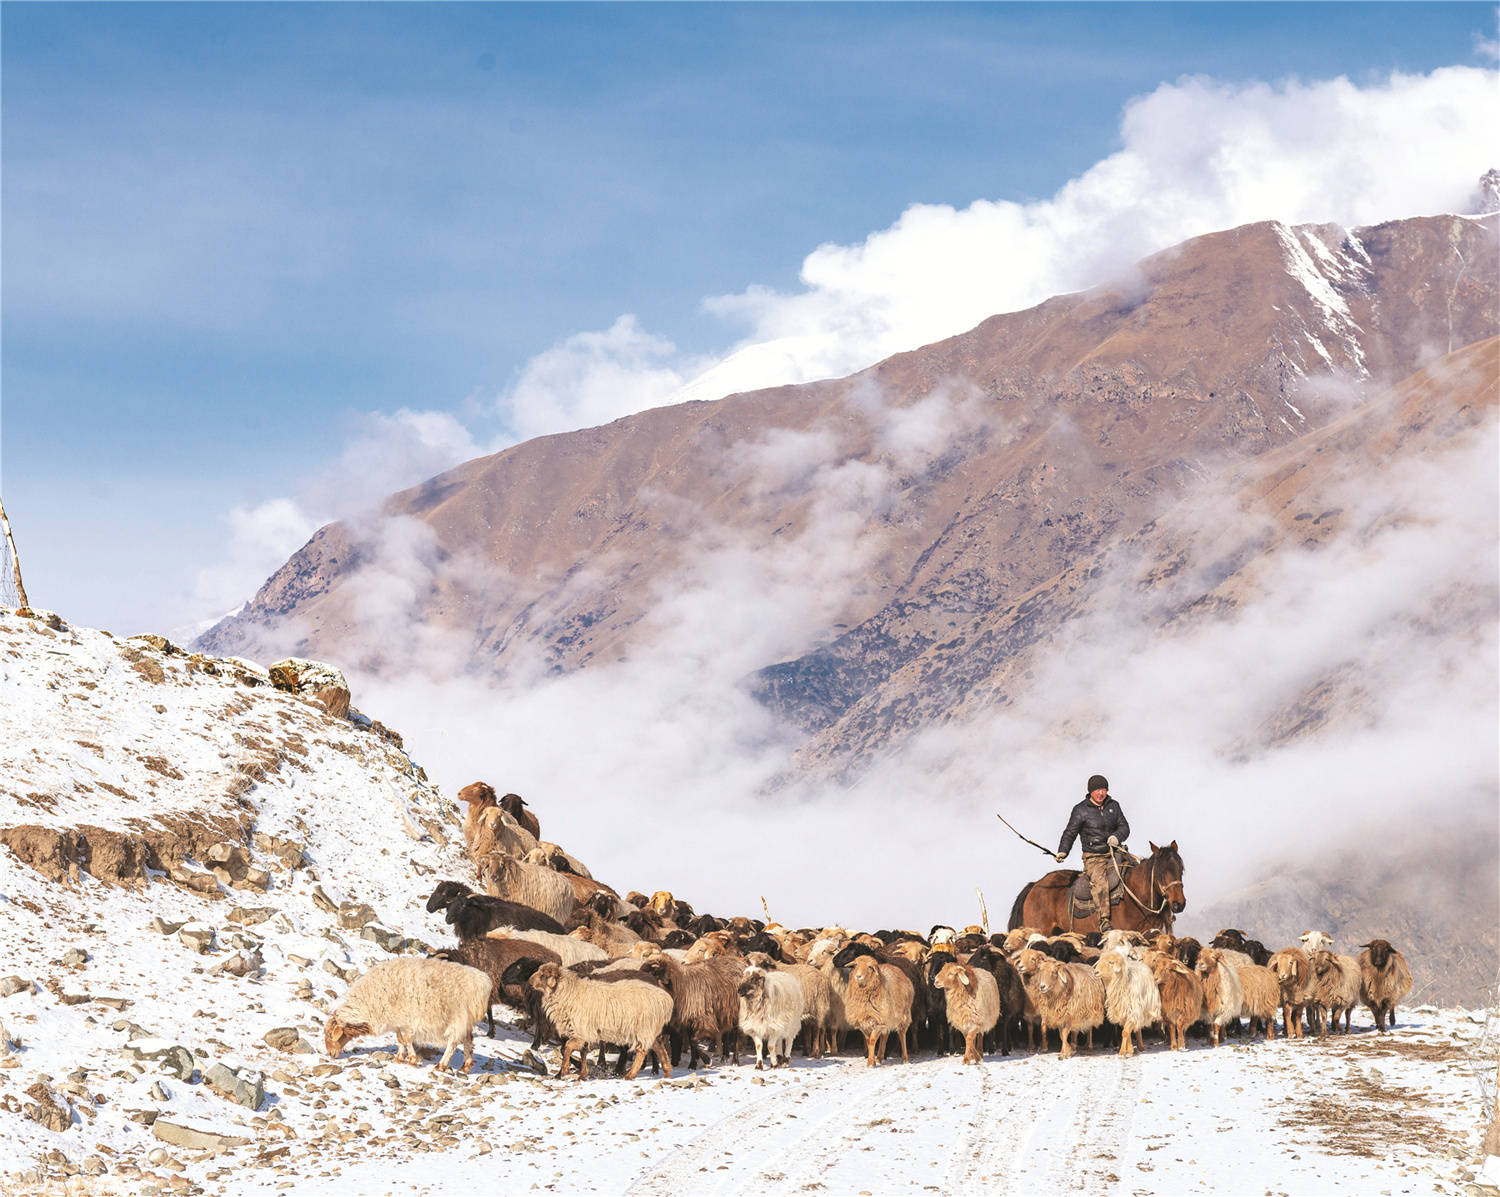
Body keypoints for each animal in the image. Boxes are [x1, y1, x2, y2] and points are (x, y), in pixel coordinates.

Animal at [325, 954, 489, 1080]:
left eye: (331, 1035)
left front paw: (412, 1059)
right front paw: (400, 1057)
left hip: (457, 1018)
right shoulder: (398, 1022)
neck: (369, 1004)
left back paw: (441, 1066)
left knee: (453, 1042)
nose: (331, 1054)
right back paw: (466, 1066)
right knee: (468, 1040)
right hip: (465, 1020)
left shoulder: (408, 1021)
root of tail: (483, 981)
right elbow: (399, 1039)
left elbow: (407, 1039)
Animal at [525, 960, 672, 1080]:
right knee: (659, 1046)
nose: (529, 982)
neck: (568, 993)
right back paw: (666, 1072)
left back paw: (631, 1075)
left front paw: (565, 1071)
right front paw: (582, 1074)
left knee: (642, 1051)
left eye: (543, 975)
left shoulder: (582, 1030)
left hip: (643, 1028)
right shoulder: (584, 1032)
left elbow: (567, 1048)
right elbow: (582, 1052)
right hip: (650, 1029)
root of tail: (665, 999)